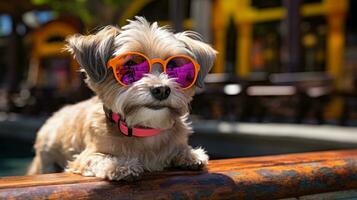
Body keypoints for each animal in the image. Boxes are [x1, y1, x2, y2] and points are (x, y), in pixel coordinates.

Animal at [27, 16, 214, 180]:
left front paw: (190, 155)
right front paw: (121, 165)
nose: (161, 90)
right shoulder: (83, 158)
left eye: (174, 66)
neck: (144, 130)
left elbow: (181, 149)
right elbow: (101, 158)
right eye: (130, 65)